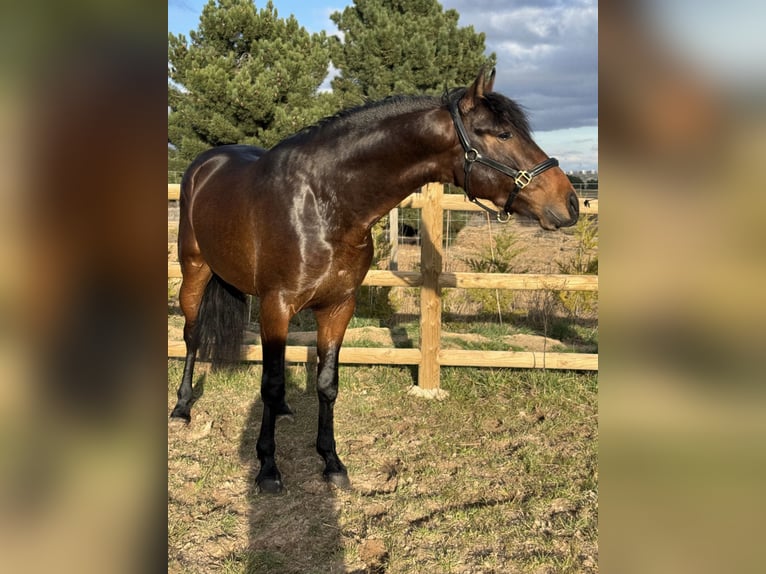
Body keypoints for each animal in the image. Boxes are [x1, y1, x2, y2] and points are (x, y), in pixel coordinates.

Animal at [170, 68, 579, 493]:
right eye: (502, 134)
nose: (570, 203)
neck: (323, 201)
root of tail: (205, 164)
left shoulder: (338, 305)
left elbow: (325, 383)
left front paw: (332, 462)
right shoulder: (276, 304)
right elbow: (270, 383)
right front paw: (267, 467)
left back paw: (281, 411)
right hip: (195, 274)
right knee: (192, 335)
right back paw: (182, 408)